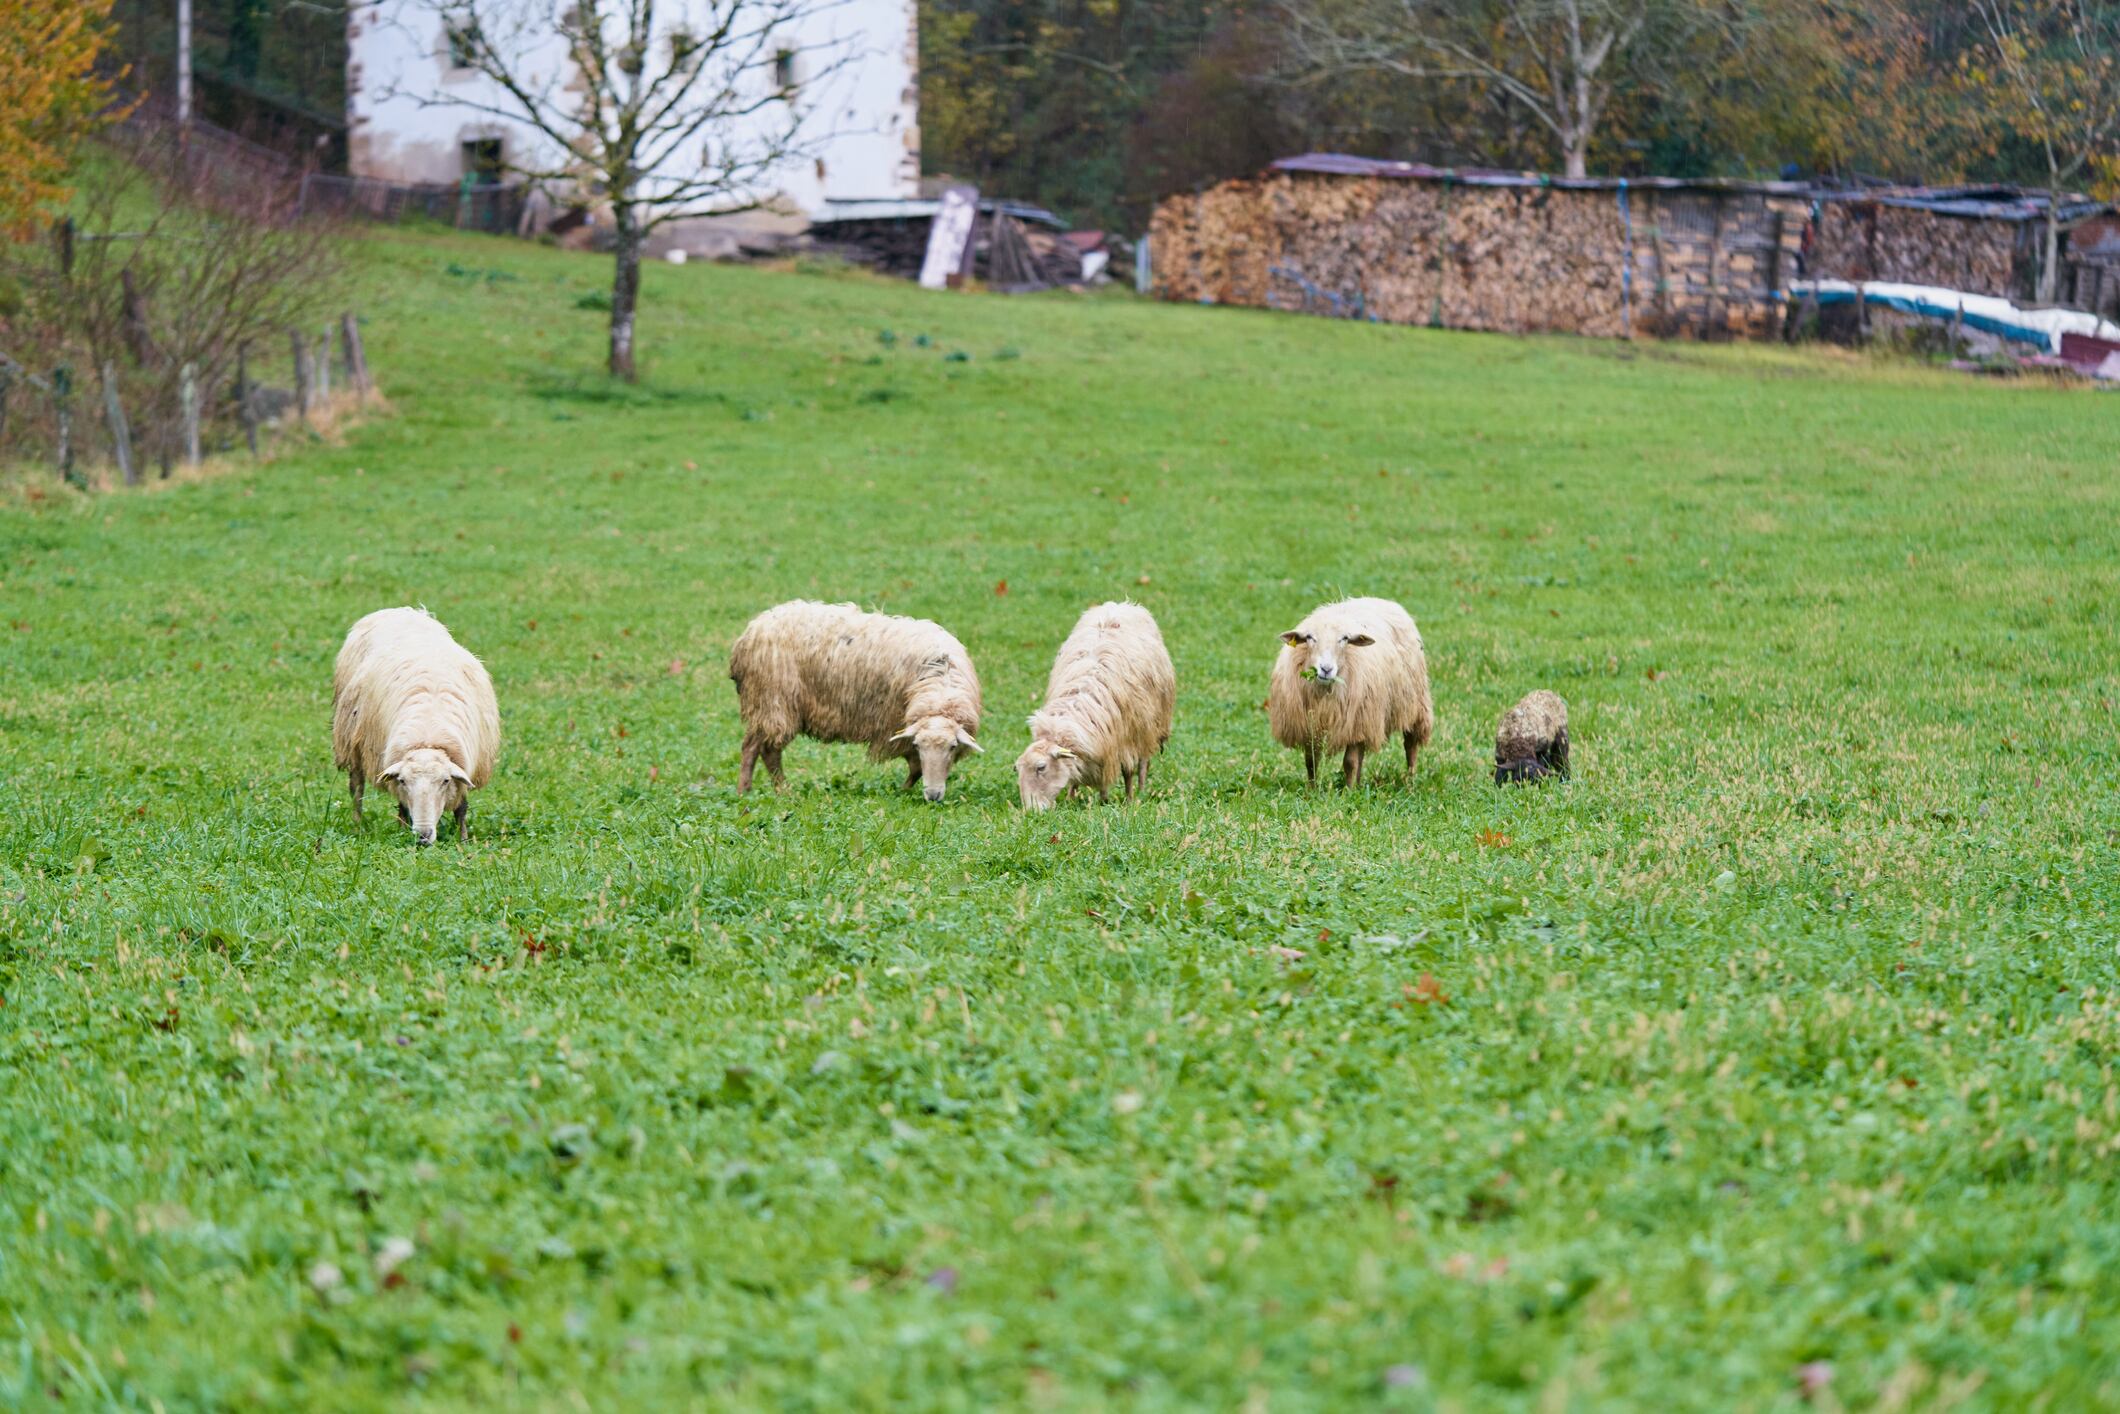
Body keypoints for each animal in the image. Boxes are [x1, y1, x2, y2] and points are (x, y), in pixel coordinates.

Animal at [339, 606, 504, 847]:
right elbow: (402, 804)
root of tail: (396, 610)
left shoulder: (466, 765)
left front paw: (463, 839)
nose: (423, 836)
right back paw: (358, 824)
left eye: (445, 781)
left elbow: (462, 808)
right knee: (356, 787)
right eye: (403, 780)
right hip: (351, 738)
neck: (428, 732)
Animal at [729, 602, 983, 805]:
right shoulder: (899, 728)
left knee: (759, 747)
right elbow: (917, 767)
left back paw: (760, 790)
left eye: (952, 747)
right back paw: (768, 791)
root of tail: (750, 633)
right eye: (920, 746)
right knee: (762, 749)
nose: (933, 796)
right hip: (774, 701)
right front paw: (904, 791)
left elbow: (917, 769)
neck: (941, 686)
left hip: (768, 704)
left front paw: (906, 789)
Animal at [1013, 602, 1178, 814]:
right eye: (1017, 769)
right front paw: (1073, 798)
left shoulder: (1126, 739)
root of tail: (1122, 604)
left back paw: (1141, 790)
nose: (1031, 812)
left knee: (1143, 762)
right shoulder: (1102, 743)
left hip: (1151, 727)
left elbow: (1127, 772)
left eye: (1041, 767)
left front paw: (1128, 799)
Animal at [1263, 597, 1433, 792]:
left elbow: (1349, 762)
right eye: (1309, 637)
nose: (1326, 669)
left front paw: (1349, 792)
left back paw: (1409, 782)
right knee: (1361, 754)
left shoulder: (1355, 720)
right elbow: (1311, 761)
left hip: (1413, 704)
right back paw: (1360, 783)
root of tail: (1382, 600)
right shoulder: (1309, 724)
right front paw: (1312, 790)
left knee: (1410, 745)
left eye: (1344, 638)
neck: (1324, 691)